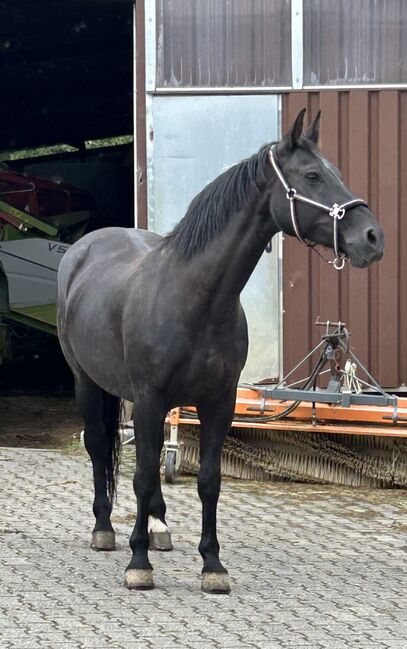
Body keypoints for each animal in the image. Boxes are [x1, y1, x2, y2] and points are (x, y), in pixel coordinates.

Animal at [57, 109, 384, 594]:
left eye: (338, 173)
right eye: (312, 176)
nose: (373, 237)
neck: (196, 299)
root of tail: (83, 249)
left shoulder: (218, 402)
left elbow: (208, 480)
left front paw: (212, 565)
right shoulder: (151, 398)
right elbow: (139, 475)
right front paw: (138, 563)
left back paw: (158, 528)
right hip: (88, 382)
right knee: (100, 446)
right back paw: (105, 530)